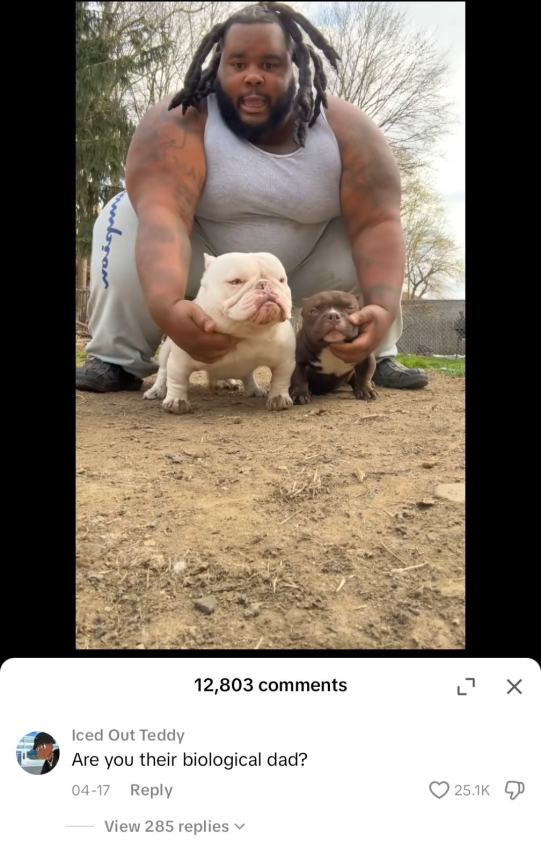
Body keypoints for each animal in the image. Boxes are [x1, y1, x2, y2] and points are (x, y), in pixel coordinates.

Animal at [143, 251, 296, 413]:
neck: (245, 331)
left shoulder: (285, 360)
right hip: (166, 350)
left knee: (247, 375)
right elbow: (177, 379)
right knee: (163, 371)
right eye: (236, 282)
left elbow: (280, 379)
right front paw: (176, 401)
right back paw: (156, 390)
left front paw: (279, 398)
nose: (265, 284)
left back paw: (252, 389)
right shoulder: (180, 360)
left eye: (281, 280)